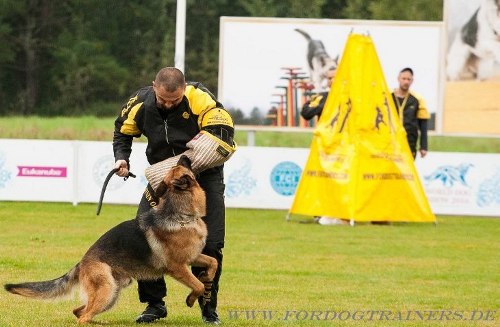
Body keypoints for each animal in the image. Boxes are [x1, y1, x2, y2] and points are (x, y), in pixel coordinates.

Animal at [3, 157, 217, 326]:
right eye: (182, 166)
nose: (184, 155)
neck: (181, 214)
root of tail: (82, 262)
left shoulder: (194, 256)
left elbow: (213, 263)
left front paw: (207, 276)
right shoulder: (177, 267)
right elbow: (197, 285)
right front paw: (191, 299)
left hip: (113, 292)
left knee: (80, 312)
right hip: (107, 290)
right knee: (83, 317)